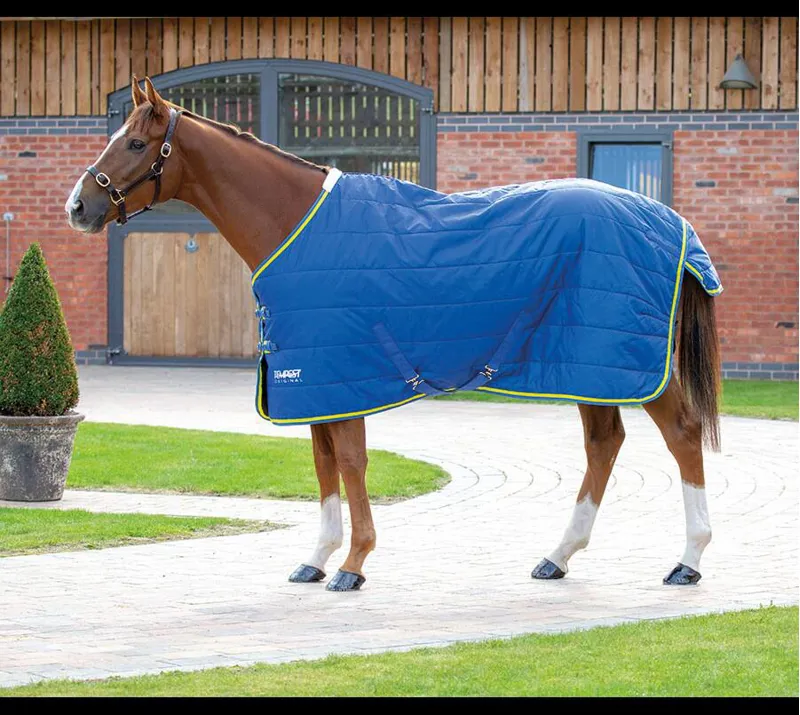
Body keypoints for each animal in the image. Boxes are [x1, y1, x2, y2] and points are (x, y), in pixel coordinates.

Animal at [65, 76, 722, 592]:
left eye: (136, 143)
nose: (78, 205)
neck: (297, 224)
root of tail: (667, 220)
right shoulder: (312, 379)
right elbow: (323, 460)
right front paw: (316, 559)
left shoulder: (344, 372)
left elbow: (351, 462)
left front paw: (353, 564)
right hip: (588, 364)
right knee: (604, 443)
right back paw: (557, 557)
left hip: (630, 364)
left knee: (682, 433)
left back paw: (688, 560)